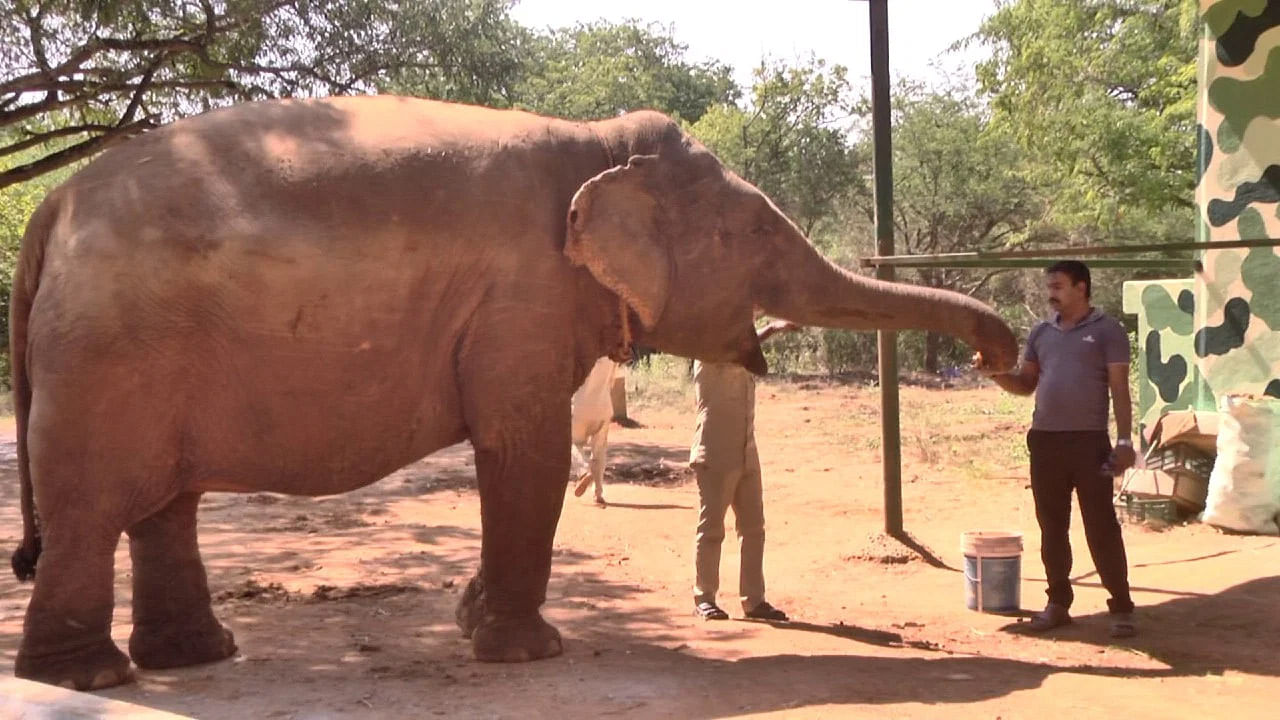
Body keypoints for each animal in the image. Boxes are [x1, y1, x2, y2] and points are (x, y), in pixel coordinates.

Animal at [2, 92, 1018, 686]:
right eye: (758, 236)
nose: (1003, 361)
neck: (596, 148)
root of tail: (52, 205)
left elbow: (520, 456)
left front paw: (470, 622)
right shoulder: (522, 299)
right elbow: (521, 450)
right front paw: (529, 652)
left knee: (161, 507)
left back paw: (193, 659)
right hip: (109, 357)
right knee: (95, 506)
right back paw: (88, 680)